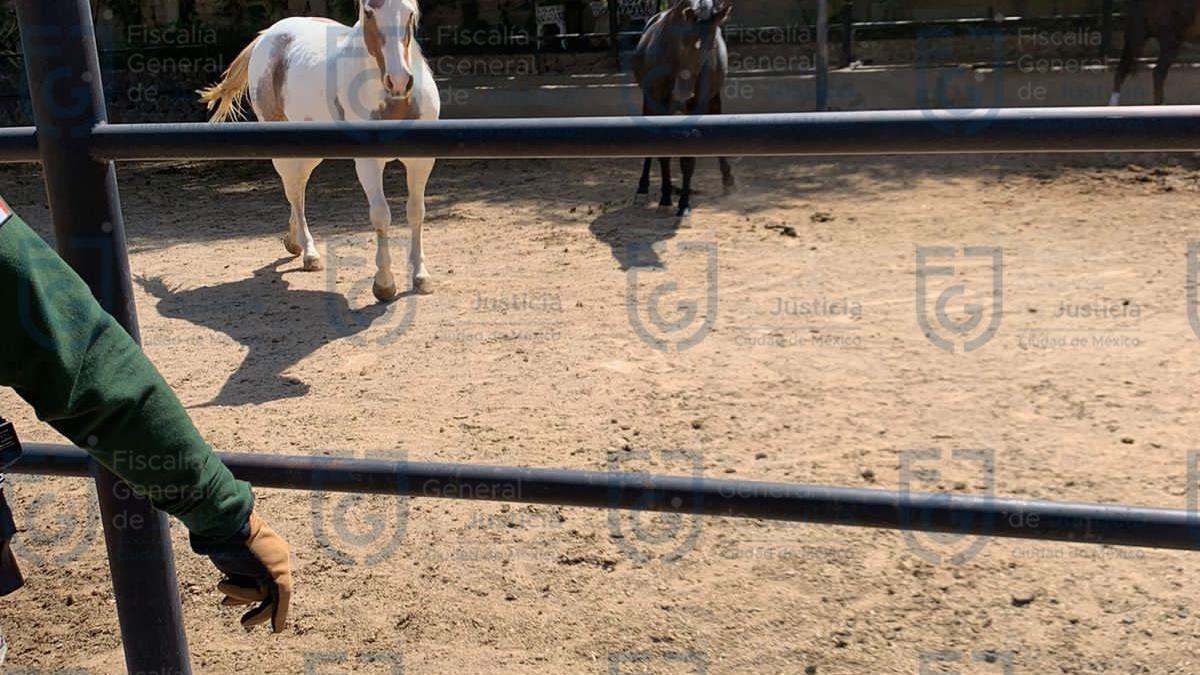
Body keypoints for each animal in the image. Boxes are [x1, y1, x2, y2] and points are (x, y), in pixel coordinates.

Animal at [199, 0, 439, 299]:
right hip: (282, 149)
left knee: (298, 187)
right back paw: (309, 254)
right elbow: (381, 215)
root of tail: (268, 35)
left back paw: (294, 241)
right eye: (369, 12)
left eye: (409, 13)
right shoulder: (368, 163)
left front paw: (421, 277)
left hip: (312, 151)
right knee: (293, 190)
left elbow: (416, 211)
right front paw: (384, 284)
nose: (398, 81)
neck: (395, 103)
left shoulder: (421, 160)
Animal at [633, 0, 734, 214]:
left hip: (714, 100)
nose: (683, 93)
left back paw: (727, 181)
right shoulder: (658, 106)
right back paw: (643, 186)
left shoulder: (697, 109)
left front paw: (684, 202)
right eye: (683, 41)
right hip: (649, 103)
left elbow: (688, 159)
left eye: (712, 45)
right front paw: (665, 197)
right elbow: (663, 155)